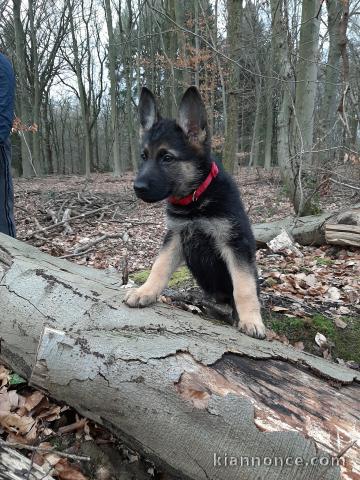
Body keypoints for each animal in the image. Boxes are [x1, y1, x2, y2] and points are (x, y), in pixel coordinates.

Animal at [125, 87, 266, 342]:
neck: (195, 200)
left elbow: (244, 286)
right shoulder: (175, 236)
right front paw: (145, 291)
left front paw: (251, 320)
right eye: (144, 156)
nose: (137, 187)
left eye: (167, 157)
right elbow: (159, 266)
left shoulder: (234, 243)